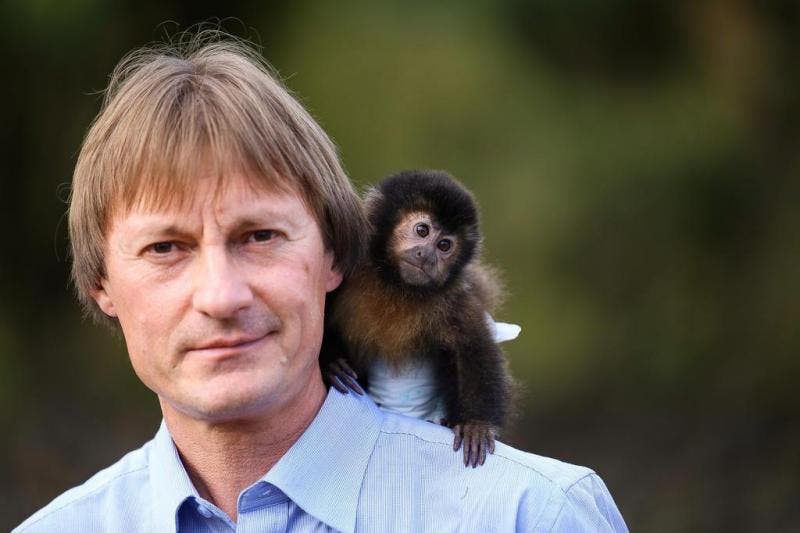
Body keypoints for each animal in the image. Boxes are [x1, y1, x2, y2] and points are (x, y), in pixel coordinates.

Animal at [321, 169, 514, 468]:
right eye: (422, 230)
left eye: (445, 245)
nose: (428, 256)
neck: (395, 284)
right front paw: (333, 364)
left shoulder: (454, 298)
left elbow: (472, 347)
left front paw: (476, 424)